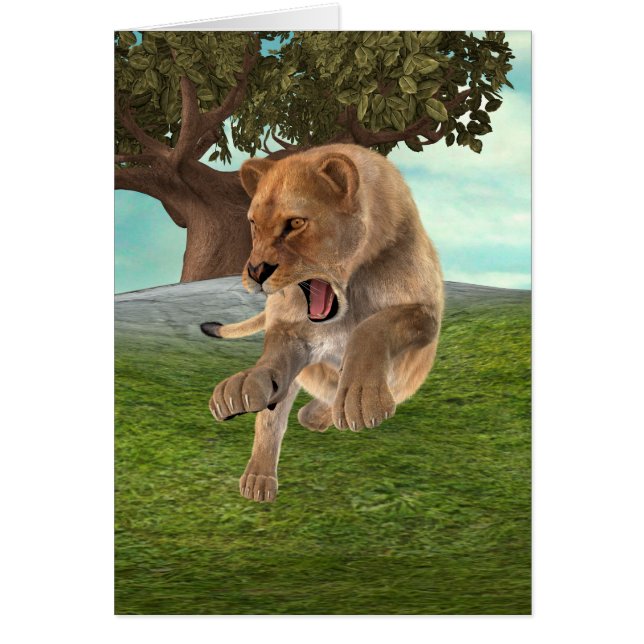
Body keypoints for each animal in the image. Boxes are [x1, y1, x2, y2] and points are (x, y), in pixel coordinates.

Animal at [200, 143, 444, 502]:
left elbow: (372, 327)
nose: (256, 272)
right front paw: (245, 384)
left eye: (296, 223)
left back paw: (319, 413)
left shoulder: (425, 314)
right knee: (275, 416)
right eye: (254, 224)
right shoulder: (290, 330)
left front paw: (361, 398)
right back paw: (259, 477)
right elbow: (272, 374)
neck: (349, 291)